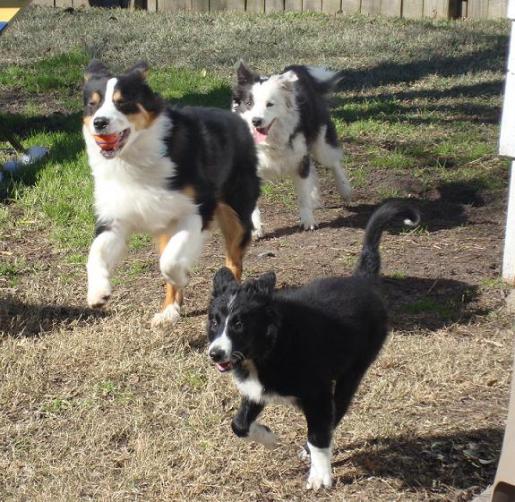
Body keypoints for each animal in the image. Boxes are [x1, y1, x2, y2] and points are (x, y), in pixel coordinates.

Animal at [206, 201, 420, 490]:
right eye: (214, 321)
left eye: (239, 324)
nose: (215, 354)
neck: (270, 346)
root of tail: (362, 279)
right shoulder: (255, 390)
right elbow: (239, 424)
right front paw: (270, 438)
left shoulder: (318, 394)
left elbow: (318, 434)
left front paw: (320, 477)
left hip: (352, 372)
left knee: (335, 415)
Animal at [232, 61, 352, 236]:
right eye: (249, 103)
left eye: (270, 104)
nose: (256, 121)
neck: (272, 139)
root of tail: (296, 69)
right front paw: (256, 229)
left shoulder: (299, 160)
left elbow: (302, 196)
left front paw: (308, 221)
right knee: (314, 169)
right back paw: (315, 197)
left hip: (321, 144)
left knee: (332, 162)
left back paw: (345, 189)